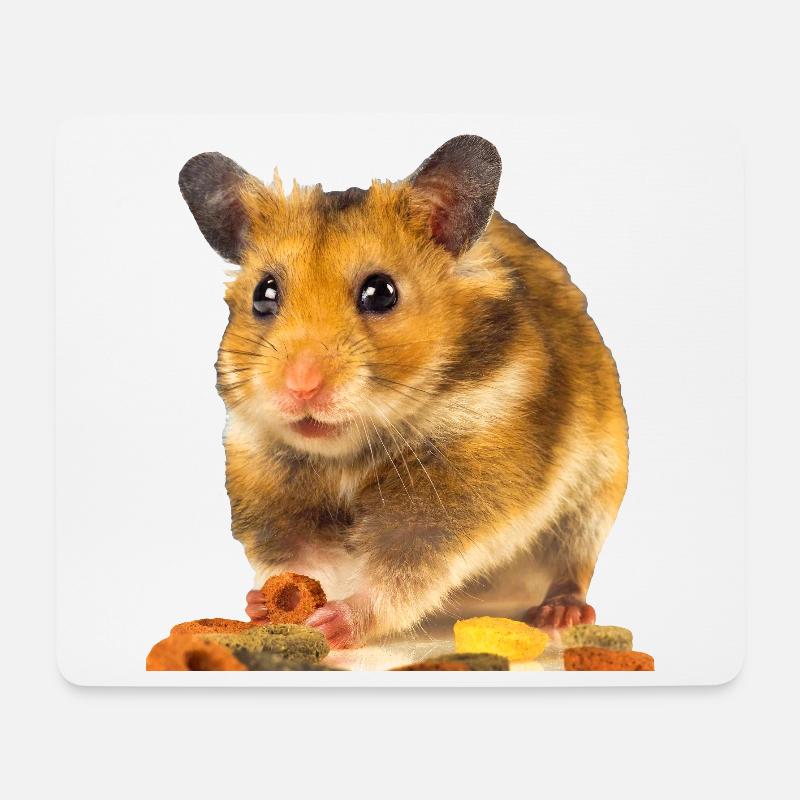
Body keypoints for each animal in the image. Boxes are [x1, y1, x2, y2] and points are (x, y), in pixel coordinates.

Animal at [178, 135, 628, 648]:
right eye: (263, 293)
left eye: (381, 293)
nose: (300, 386)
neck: (348, 454)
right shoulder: (270, 485)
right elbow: (301, 560)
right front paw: (266, 606)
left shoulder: (455, 496)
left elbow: (400, 572)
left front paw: (333, 623)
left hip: (594, 494)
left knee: (573, 562)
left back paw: (558, 614)